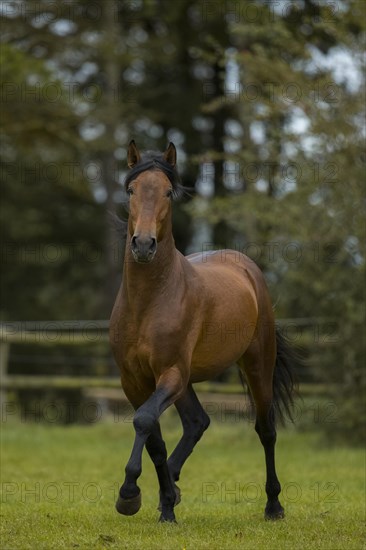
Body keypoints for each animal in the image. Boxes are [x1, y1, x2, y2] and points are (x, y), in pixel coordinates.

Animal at [110, 141, 296, 528]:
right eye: (131, 190)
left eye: (168, 191)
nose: (144, 245)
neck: (149, 303)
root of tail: (247, 266)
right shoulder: (134, 380)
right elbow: (153, 437)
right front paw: (164, 505)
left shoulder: (170, 373)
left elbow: (144, 420)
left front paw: (129, 495)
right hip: (186, 382)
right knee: (198, 422)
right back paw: (172, 491)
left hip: (256, 365)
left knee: (266, 429)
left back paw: (273, 506)